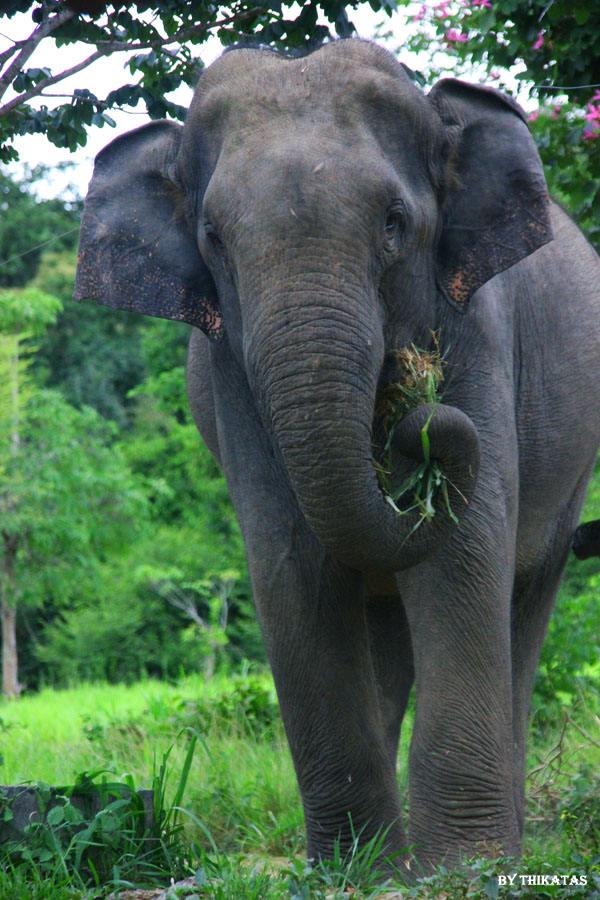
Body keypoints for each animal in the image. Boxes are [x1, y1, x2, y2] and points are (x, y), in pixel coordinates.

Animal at [74, 38, 600, 876]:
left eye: (394, 222)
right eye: (214, 239)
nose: (417, 415)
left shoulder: (477, 329)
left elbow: (461, 557)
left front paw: (459, 872)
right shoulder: (234, 373)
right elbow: (291, 562)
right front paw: (360, 871)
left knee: (525, 595)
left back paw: (501, 855)